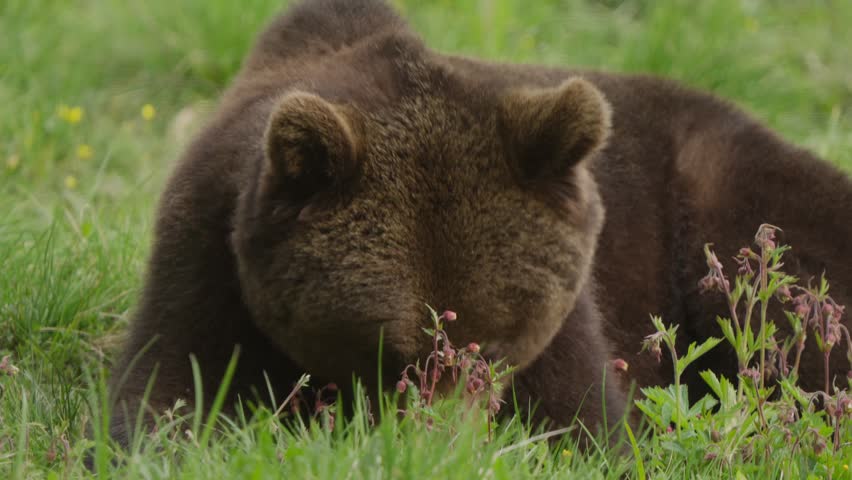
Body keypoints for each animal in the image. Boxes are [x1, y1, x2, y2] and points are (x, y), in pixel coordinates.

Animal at [108, 0, 852, 446]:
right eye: (390, 355)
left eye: (493, 349)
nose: (442, 445)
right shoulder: (210, 253)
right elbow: (165, 396)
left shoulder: (575, 302)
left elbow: (584, 425)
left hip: (735, 209)